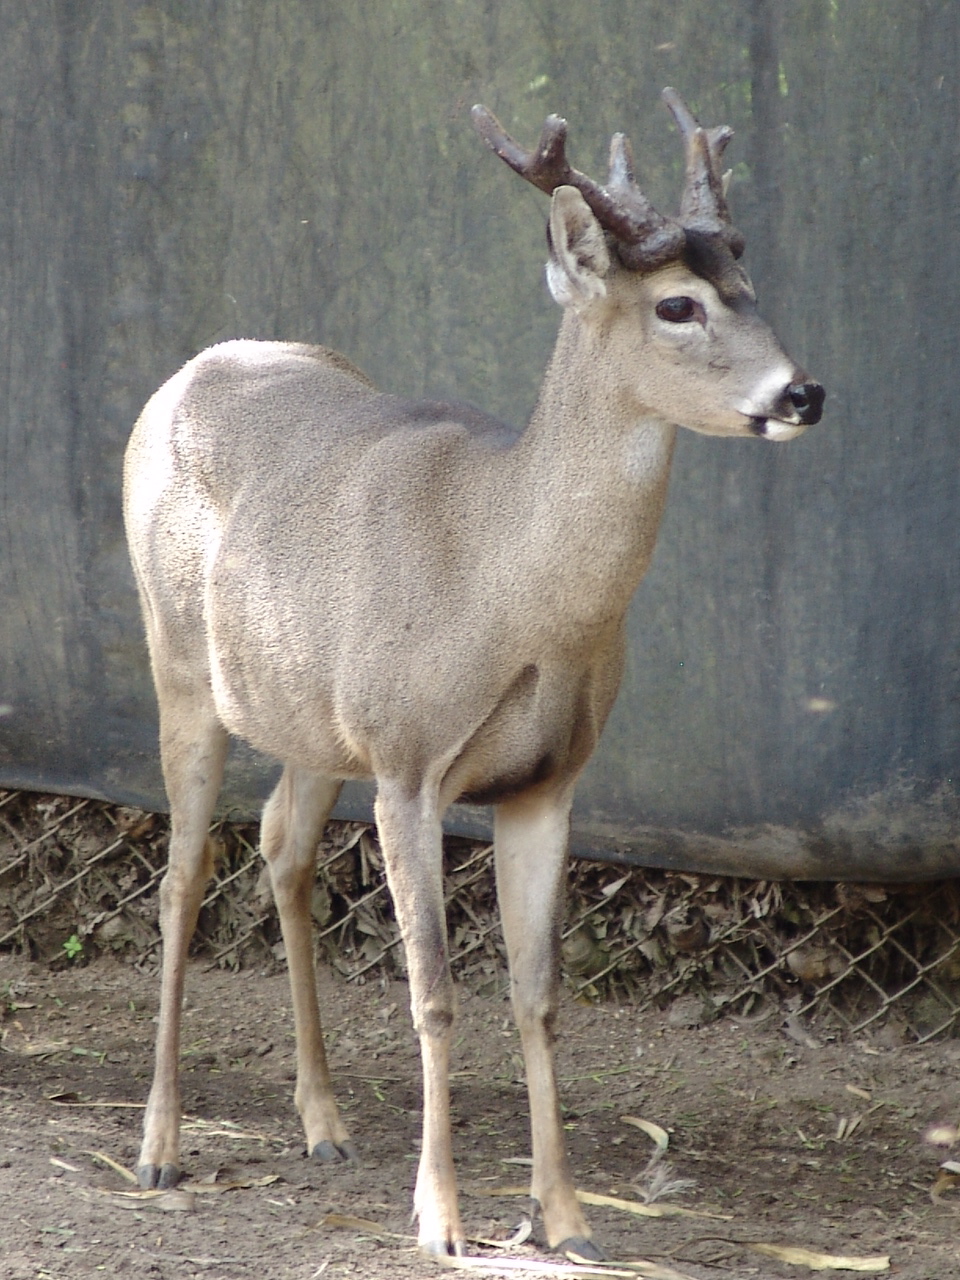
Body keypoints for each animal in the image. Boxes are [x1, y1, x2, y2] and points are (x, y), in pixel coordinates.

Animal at [122, 88, 824, 1260]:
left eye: (752, 289)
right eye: (678, 306)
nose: (804, 391)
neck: (506, 581)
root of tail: (186, 370)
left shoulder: (547, 779)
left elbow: (538, 994)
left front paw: (568, 1217)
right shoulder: (410, 763)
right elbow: (436, 994)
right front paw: (441, 1218)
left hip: (314, 715)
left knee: (281, 848)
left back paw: (324, 1122)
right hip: (179, 662)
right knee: (181, 878)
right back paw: (161, 1143)